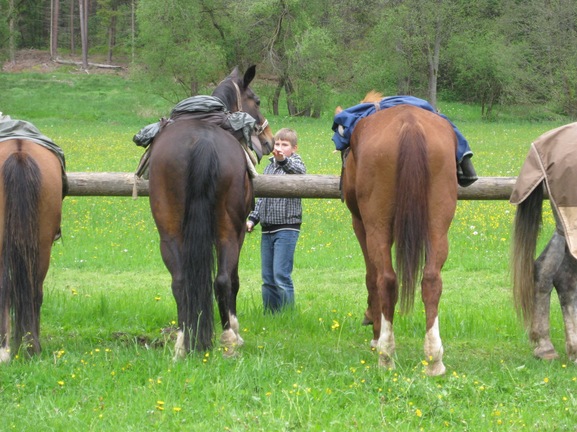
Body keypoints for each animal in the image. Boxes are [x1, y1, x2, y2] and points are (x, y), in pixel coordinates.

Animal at [147, 66, 273, 358]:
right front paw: (235, 330)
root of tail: (200, 141)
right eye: (257, 100)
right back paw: (229, 339)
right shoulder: (239, 232)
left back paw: (183, 343)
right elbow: (233, 281)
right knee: (223, 280)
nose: (269, 140)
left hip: (169, 232)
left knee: (180, 282)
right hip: (228, 230)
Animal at [337, 92, 458, 375]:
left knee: (386, 280)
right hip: (438, 226)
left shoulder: (360, 224)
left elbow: (371, 277)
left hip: (376, 227)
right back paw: (434, 358)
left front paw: (374, 327)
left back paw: (385, 353)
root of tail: (409, 124)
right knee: (431, 280)